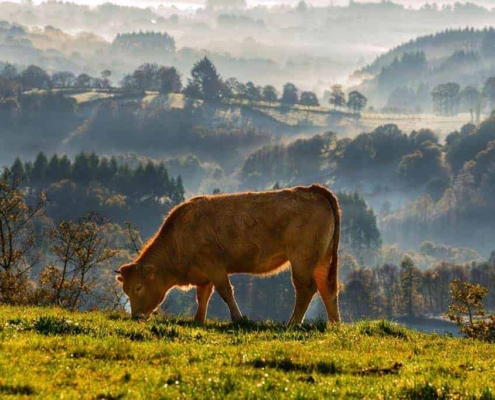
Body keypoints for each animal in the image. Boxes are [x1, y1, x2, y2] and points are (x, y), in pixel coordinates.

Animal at [116, 184, 340, 324]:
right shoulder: (203, 274)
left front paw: (238, 318)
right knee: (327, 288)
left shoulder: (214, 265)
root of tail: (312, 189)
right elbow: (202, 296)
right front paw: (198, 320)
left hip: (302, 259)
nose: (136, 316)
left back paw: (293, 323)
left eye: (139, 287)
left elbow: (225, 291)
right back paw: (334, 324)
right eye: (125, 290)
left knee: (306, 288)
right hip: (322, 259)